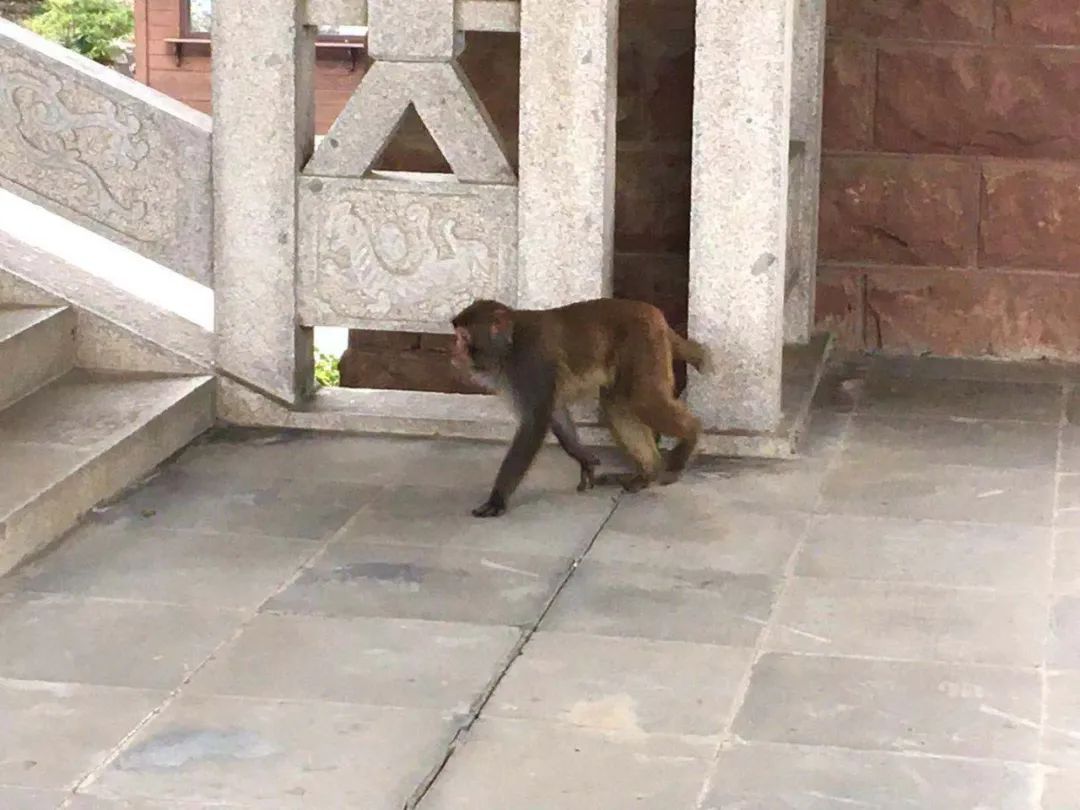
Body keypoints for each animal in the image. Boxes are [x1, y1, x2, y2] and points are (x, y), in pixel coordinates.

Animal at [447, 300, 708, 520]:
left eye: (463, 337)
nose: (454, 351)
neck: (511, 343)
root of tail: (654, 313)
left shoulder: (531, 362)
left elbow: (535, 421)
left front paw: (497, 499)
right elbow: (555, 410)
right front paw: (584, 459)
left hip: (644, 343)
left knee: (643, 400)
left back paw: (690, 437)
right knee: (616, 404)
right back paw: (647, 472)